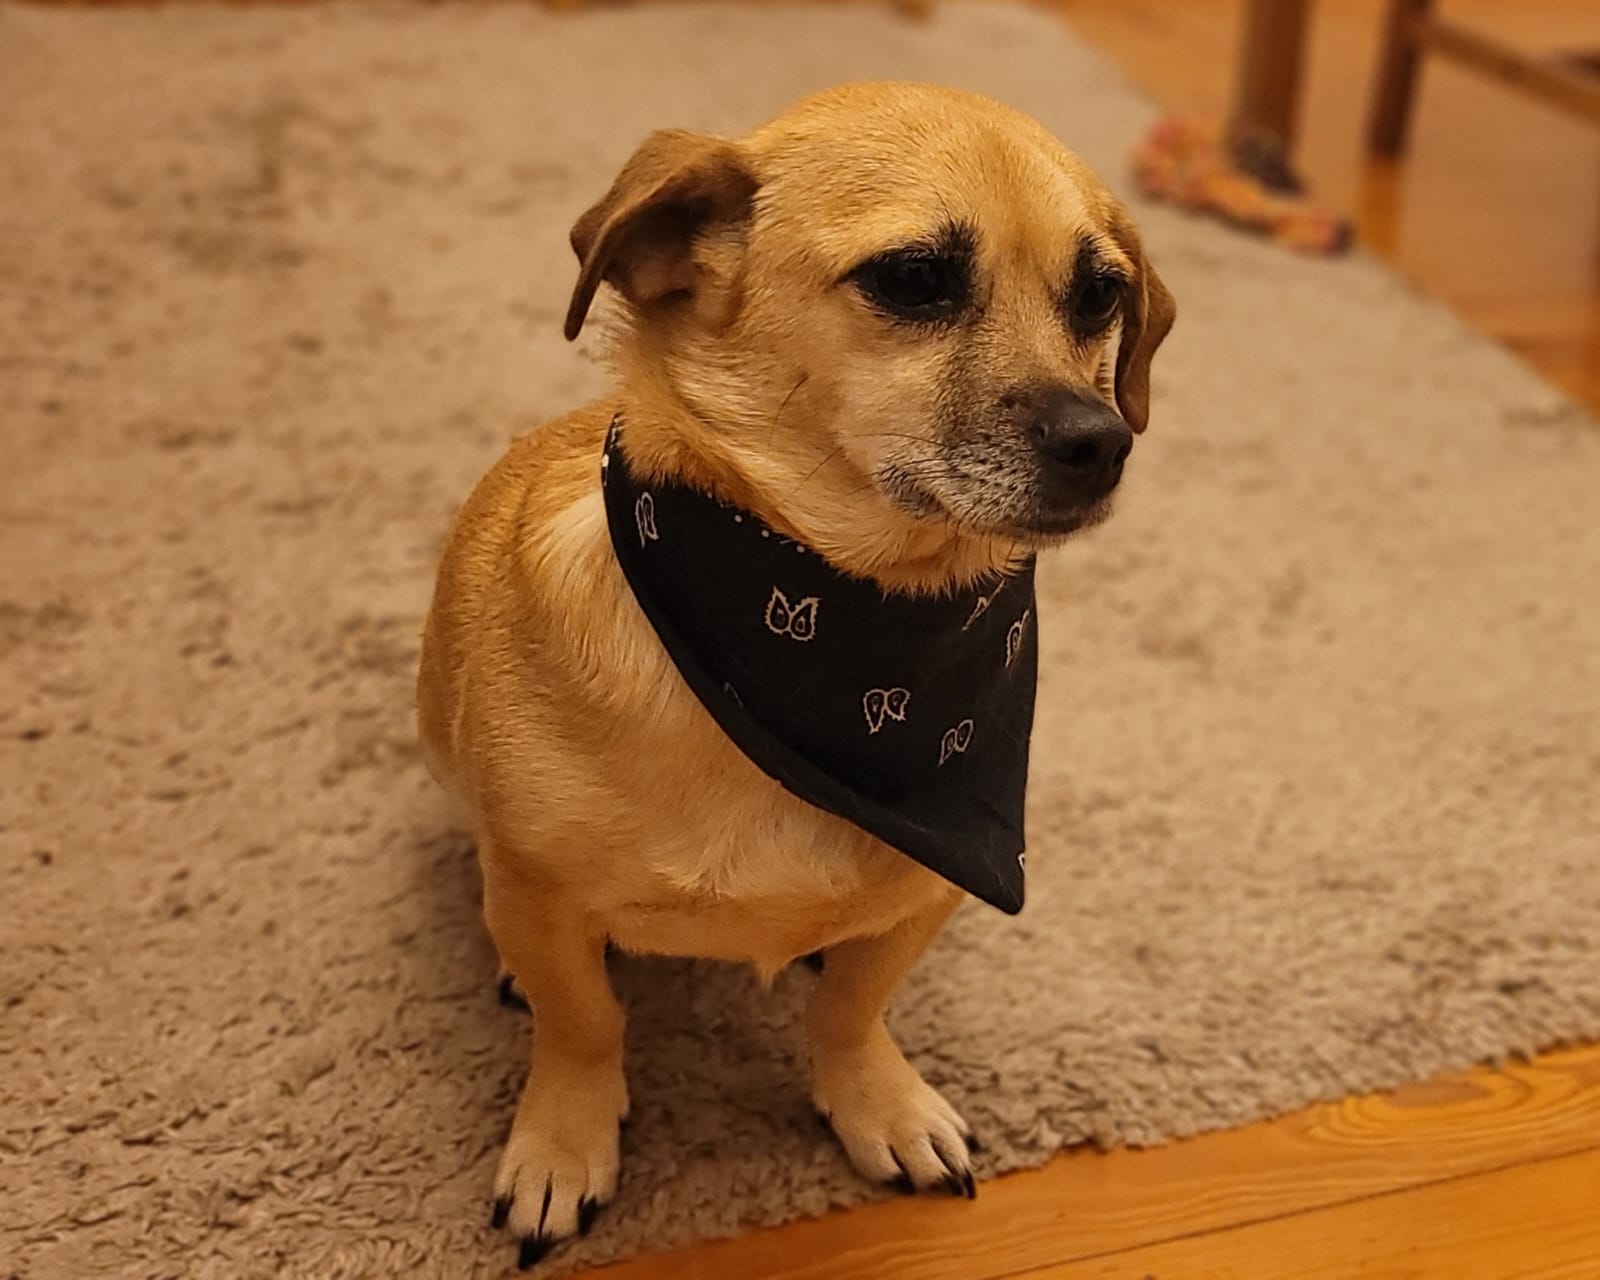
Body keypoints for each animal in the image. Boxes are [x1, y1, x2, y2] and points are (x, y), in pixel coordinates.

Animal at [416, 81, 1174, 1268]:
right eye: (911, 278)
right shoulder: (542, 899)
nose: (1102, 442)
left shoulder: (923, 895)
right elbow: (583, 1024)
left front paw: (878, 1103)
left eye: (1101, 296)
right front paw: (563, 1143)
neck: (845, 632)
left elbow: (850, 1012)